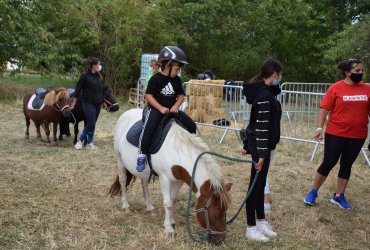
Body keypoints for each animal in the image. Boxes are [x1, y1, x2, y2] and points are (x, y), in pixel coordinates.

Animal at [108, 109, 233, 244]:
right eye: (215, 215)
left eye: (225, 211)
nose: (220, 240)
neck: (177, 151)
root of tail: (127, 112)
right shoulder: (164, 178)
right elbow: (167, 203)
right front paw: (168, 229)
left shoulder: (178, 180)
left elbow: (172, 199)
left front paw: (172, 222)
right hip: (119, 159)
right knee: (123, 180)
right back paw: (125, 206)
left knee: (144, 182)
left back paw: (149, 208)